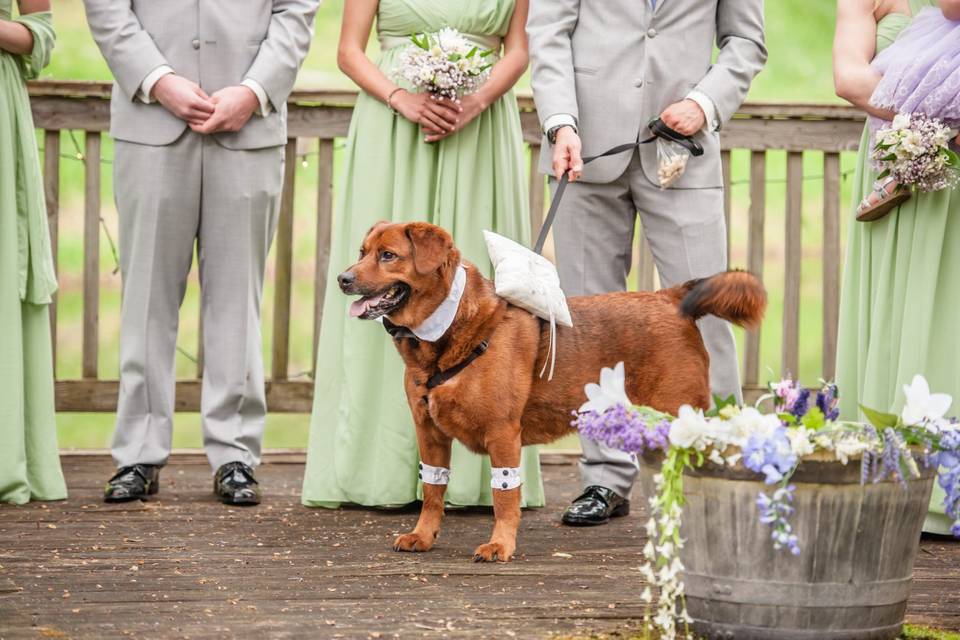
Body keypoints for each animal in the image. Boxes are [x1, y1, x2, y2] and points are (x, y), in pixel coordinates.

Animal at [338, 222, 764, 564]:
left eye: (389, 255)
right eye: (362, 252)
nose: (342, 278)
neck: (448, 332)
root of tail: (671, 298)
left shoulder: (503, 434)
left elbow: (504, 497)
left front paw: (501, 545)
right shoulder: (429, 433)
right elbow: (431, 490)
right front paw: (424, 536)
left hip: (678, 419)